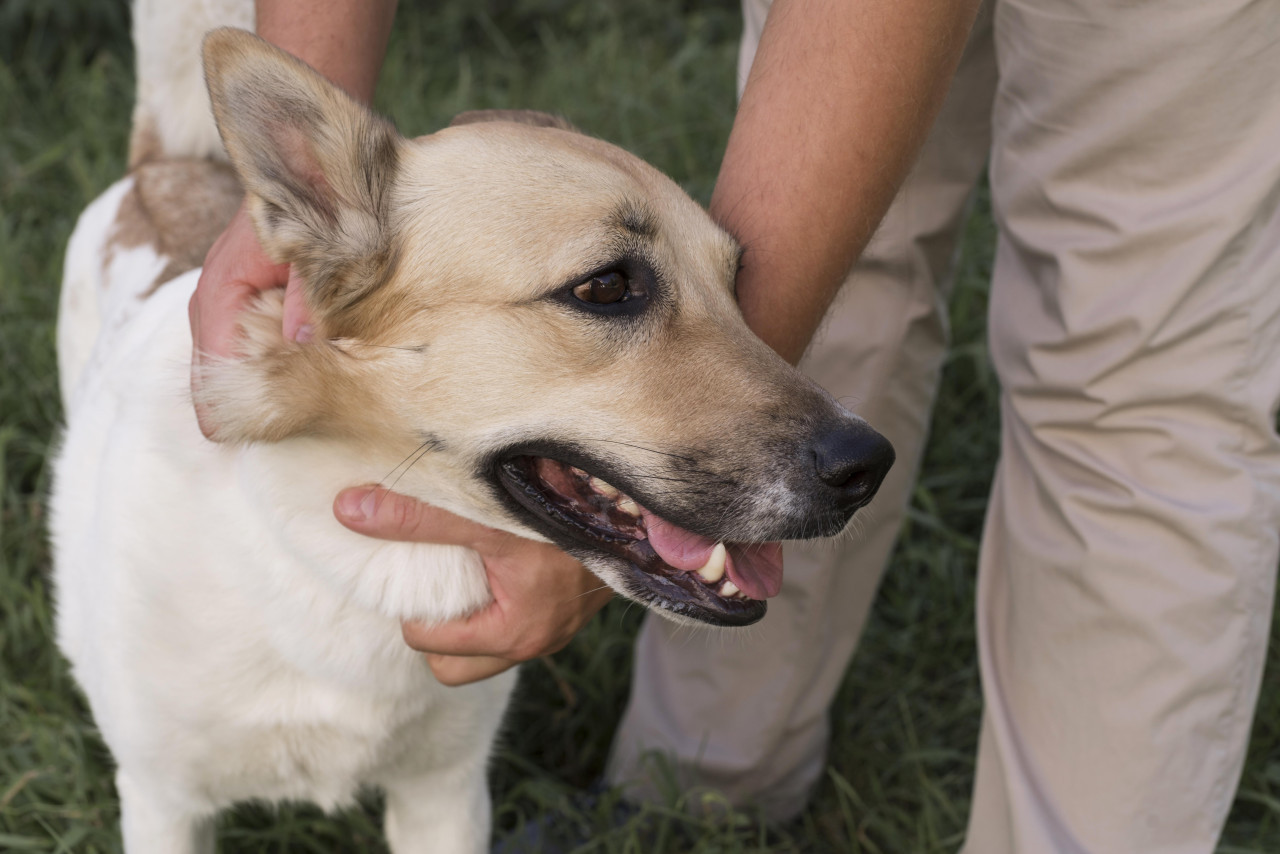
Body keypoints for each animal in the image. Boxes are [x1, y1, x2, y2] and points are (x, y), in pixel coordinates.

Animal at [49, 3, 890, 850]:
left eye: (736, 282)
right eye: (606, 286)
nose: (870, 465)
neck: (359, 563)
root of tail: (171, 167)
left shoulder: (445, 793)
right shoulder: (162, 802)